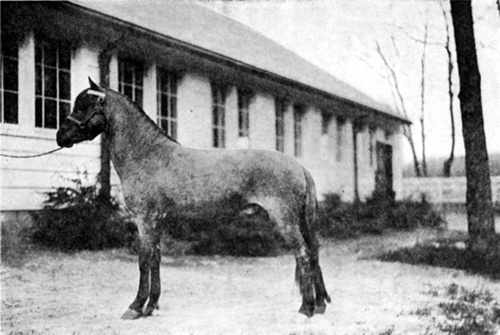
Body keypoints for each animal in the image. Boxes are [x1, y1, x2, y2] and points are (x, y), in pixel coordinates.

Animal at [56, 78, 330, 320]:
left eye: (83, 106)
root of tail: (299, 166)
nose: (60, 135)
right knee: (314, 252)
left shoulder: (144, 219)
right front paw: (151, 305)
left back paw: (305, 309)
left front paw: (135, 307)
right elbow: (155, 258)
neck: (146, 154)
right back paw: (320, 304)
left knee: (303, 253)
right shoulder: (156, 221)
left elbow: (143, 260)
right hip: (301, 221)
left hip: (285, 220)